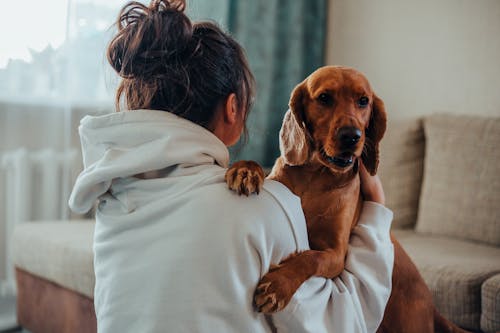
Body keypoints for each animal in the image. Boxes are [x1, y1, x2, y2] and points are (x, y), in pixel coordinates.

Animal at [227, 65, 468, 332]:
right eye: (324, 98)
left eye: (363, 101)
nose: (352, 136)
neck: (316, 177)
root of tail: (435, 308)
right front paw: (246, 170)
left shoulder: (336, 254)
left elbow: (311, 258)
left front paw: (279, 284)